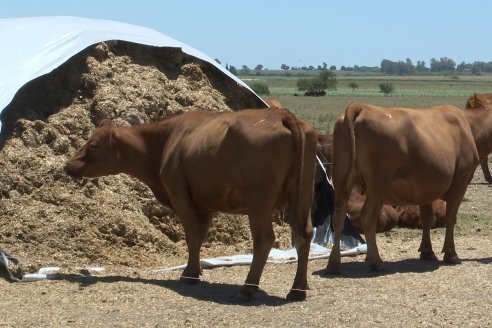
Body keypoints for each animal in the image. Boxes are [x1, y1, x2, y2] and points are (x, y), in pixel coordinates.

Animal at [65, 107, 318, 302]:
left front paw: (189, 275)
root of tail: (281, 114)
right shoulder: (205, 205)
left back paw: (247, 289)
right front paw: (196, 270)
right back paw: (298, 289)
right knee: (304, 234)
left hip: (259, 201)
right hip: (302, 196)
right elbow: (200, 236)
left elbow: (192, 236)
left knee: (264, 239)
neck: (166, 141)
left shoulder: (179, 194)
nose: (68, 165)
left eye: (93, 144)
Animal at [326, 102, 492, 272]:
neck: (470, 125)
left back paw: (333, 263)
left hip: (341, 180)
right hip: (377, 186)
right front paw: (451, 254)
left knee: (338, 215)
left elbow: (427, 218)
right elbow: (450, 218)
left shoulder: (426, 186)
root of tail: (361, 106)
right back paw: (376, 261)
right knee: (367, 216)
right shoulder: (461, 180)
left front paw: (427, 252)